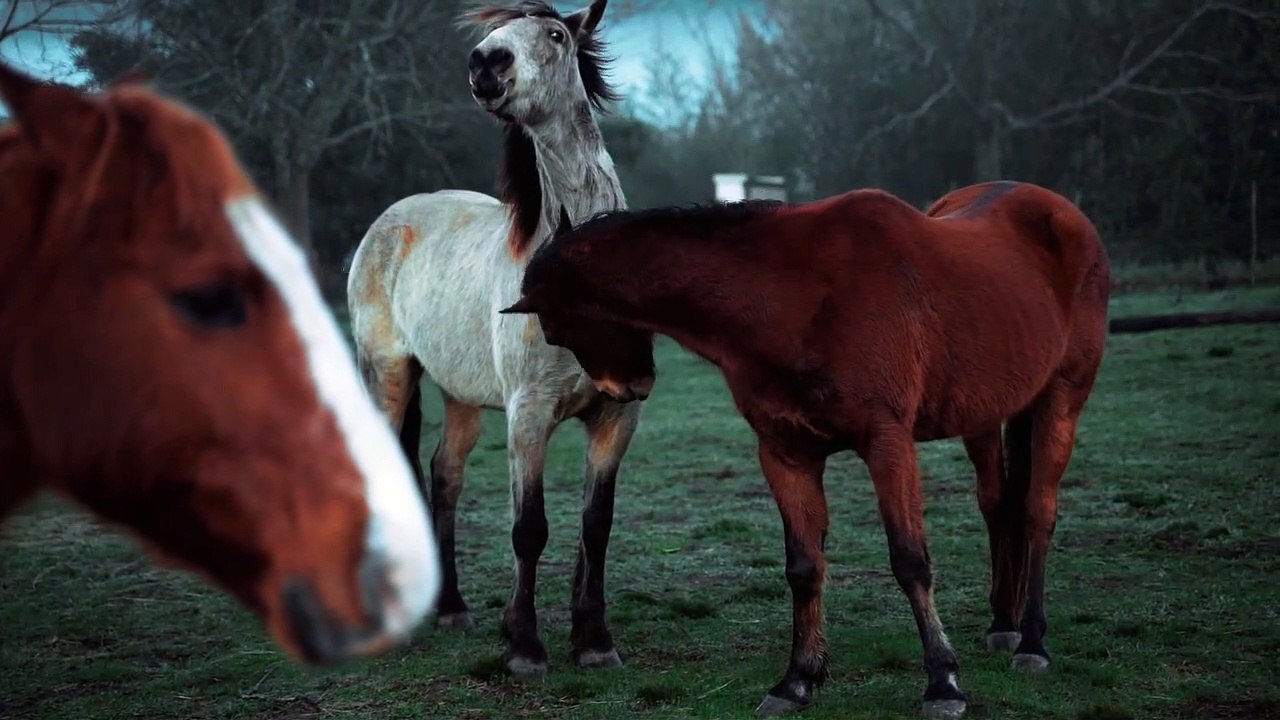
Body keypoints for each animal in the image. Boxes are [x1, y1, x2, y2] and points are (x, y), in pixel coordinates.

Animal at [346, 0, 641, 676]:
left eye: (556, 35)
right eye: (493, 34)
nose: (486, 63)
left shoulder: (617, 416)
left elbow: (596, 526)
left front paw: (594, 641)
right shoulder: (527, 416)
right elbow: (529, 528)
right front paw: (525, 646)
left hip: (460, 397)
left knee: (444, 475)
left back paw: (451, 608)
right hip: (388, 374)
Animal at [501, 182, 1111, 717]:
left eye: (557, 328)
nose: (629, 389)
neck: (794, 295)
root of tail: (1061, 213)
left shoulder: (888, 444)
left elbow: (909, 560)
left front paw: (943, 683)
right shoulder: (785, 453)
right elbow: (803, 566)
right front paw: (797, 680)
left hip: (1061, 401)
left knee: (1036, 512)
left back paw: (1032, 642)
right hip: (986, 417)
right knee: (998, 506)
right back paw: (1004, 625)